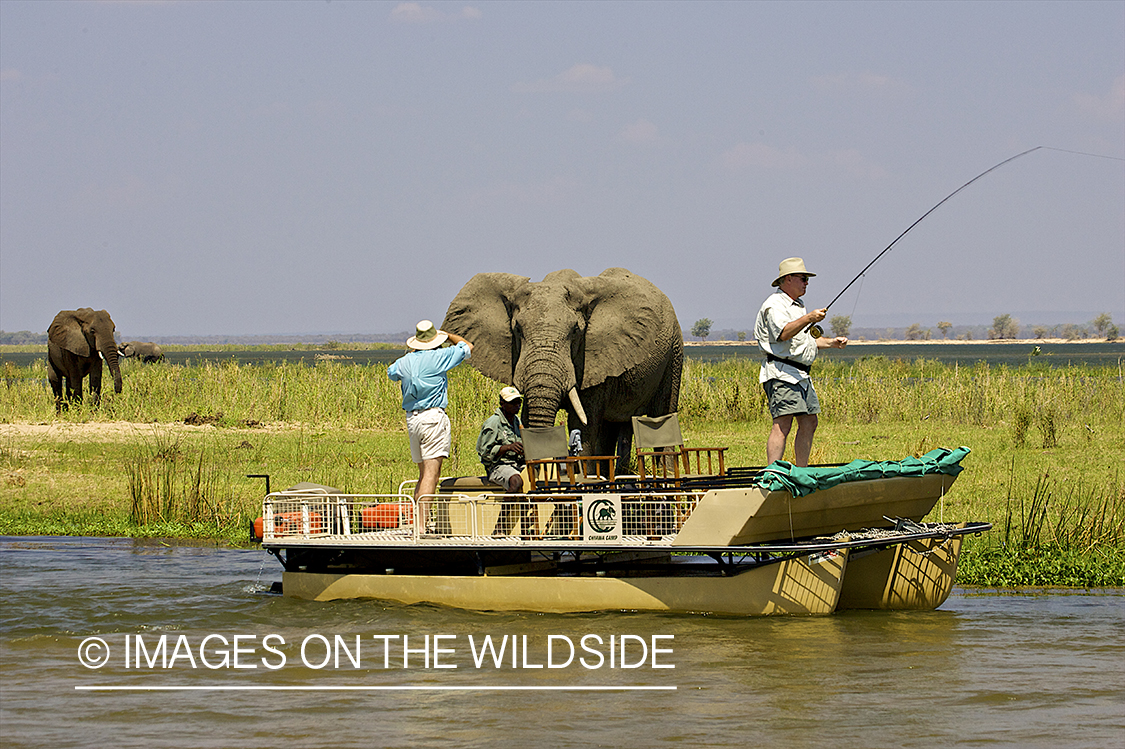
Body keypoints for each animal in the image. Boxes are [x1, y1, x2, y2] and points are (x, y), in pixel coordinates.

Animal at [443, 262, 679, 461]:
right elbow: (529, 416)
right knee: (611, 427)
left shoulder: (592, 360)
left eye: (576, 331)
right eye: (517, 329)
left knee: (663, 416)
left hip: (674, 352)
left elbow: (583, 423)